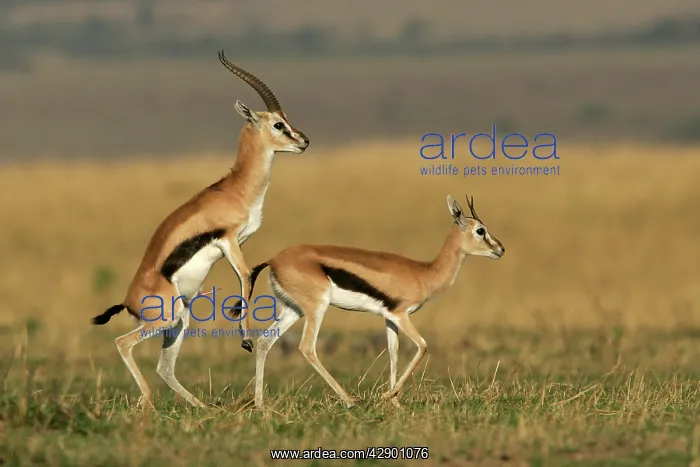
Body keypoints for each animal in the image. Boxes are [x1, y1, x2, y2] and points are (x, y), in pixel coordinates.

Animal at [90, 50, 310, 409]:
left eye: (287, 119)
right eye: (278, 124)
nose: (304, 141)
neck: (235, 188)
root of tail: (129, 300)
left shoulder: (239, 242)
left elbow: (248, 279)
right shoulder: (230, 240)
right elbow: (246, 277)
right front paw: (246, 340)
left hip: (180, 318)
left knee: (164, 367)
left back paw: (202, 407)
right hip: (164, 319)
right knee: (123, 343)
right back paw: (148, 401)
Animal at [247, 194, 505, 408]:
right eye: (480, 230)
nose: (501, 249)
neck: (424, 273)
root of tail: (273, 260)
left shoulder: (389, 317)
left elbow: (393, 352)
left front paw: (395, 402)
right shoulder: (402, 314)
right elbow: (422, 346)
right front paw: (386, 396)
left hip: (292, 310)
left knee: (264, 342)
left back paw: (260, 405)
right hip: (316, 308)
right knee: (307, 347)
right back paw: (349, 400)